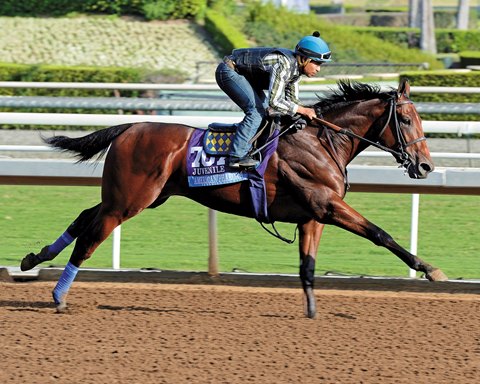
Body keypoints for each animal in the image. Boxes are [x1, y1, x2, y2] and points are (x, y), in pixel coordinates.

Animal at [20, 79, 448, 318]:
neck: (323, 141)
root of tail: (130, 126)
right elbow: (380, 234)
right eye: (406, 120)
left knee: (83, 217)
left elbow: (307, 267)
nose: (425, 166)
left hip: (136, 197)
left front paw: (312, 312)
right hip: (128, 201)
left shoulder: (312, 215)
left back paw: (33, 259)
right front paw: (430, 269)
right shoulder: (328, 205)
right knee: (91, 237)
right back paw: (58, 296)